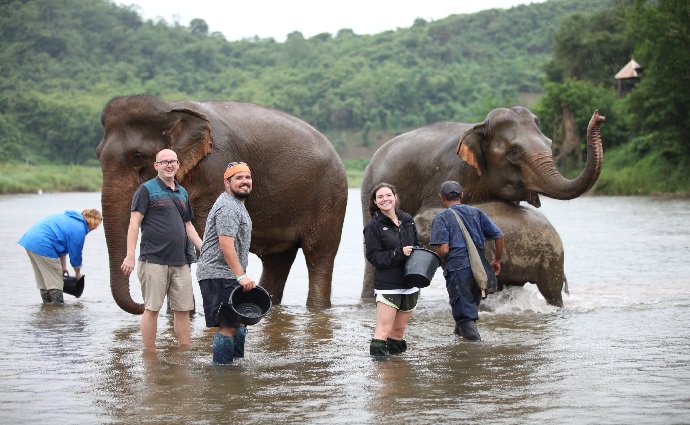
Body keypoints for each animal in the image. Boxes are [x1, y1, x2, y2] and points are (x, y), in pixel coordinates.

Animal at [95, 94, 350, 314]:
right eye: (97, 155)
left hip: (330, 195)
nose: (141, 305)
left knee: (318, 253)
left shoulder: (215, 169)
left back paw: (317, 308)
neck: (170, 107)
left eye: (137, 157)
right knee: (277, 260)